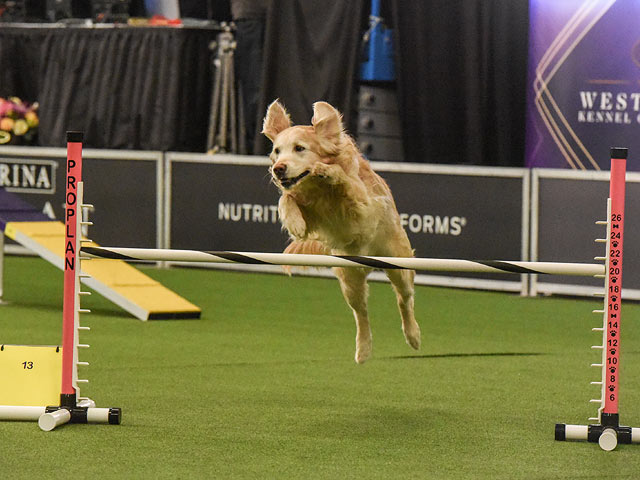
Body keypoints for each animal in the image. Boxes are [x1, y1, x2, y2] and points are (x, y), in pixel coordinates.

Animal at [262, 101, 420, 364]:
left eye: (299, 148)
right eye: (277, 150)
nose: (278, 169)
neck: (318, 190)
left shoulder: (363, 205)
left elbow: (344, 179)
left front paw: (328, 171)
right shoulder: (312, 214)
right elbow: (287, 199)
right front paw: (295, 222)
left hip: (398, 264)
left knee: (404, 298)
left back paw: (413, 335)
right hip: (349, 277)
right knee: (361, 313)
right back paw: (363, 350)